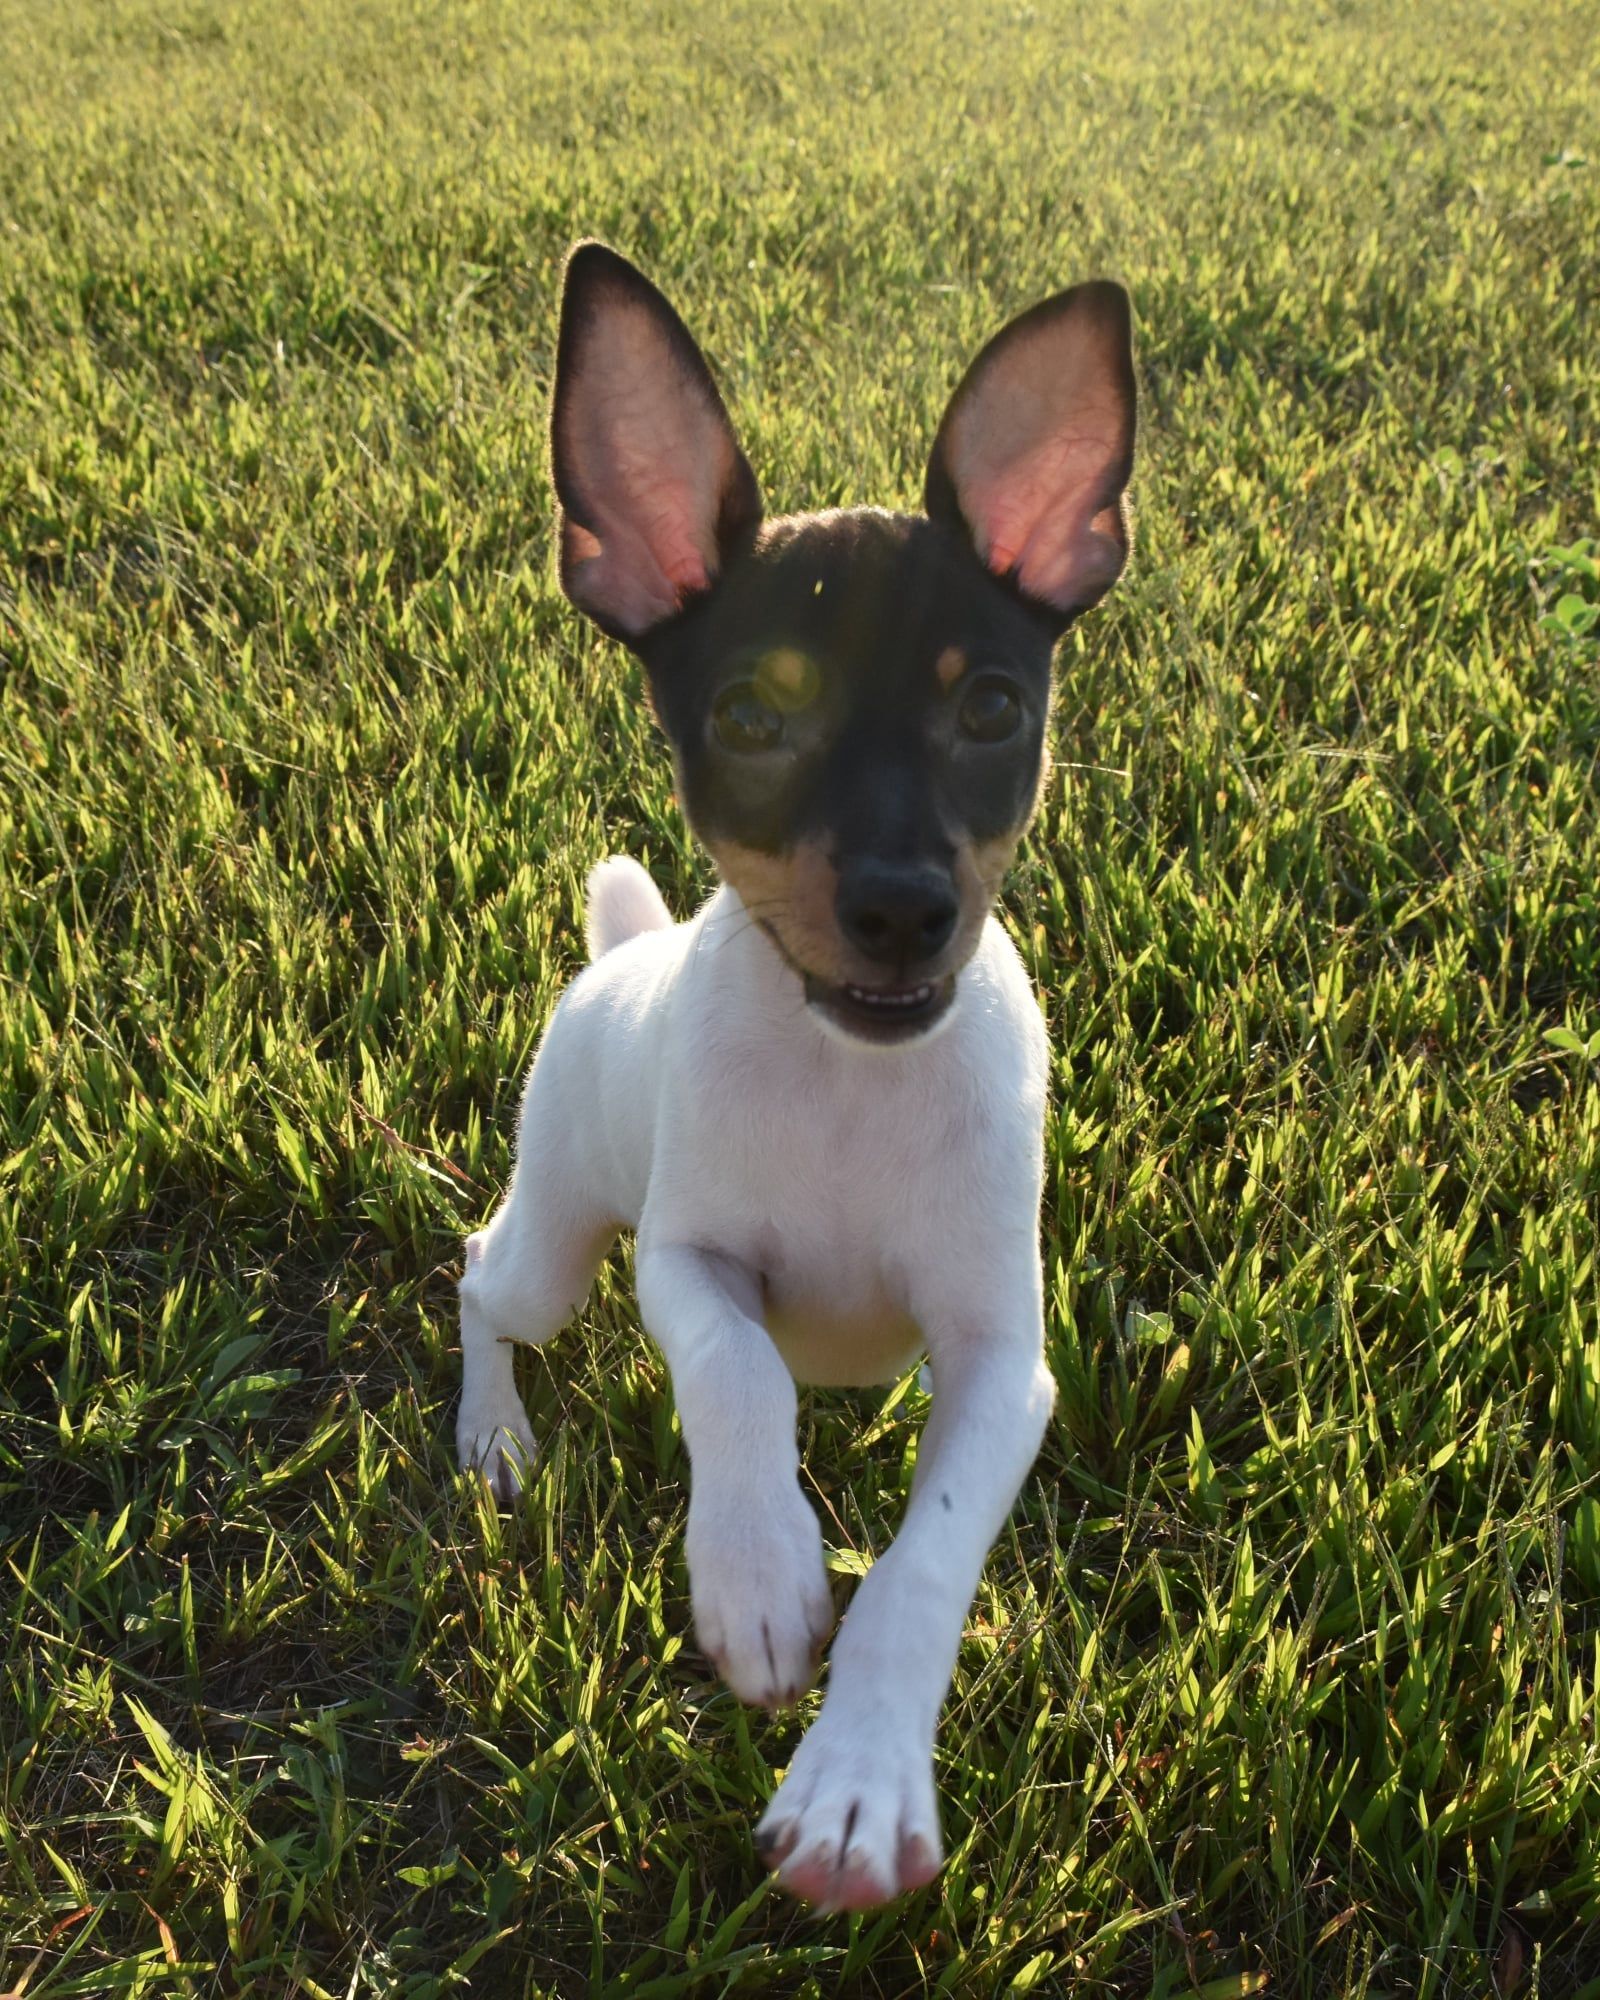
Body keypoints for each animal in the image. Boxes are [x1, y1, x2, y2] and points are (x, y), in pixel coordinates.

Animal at [456, 242, 1136, 1912]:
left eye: (992, 709)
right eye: (751, 720)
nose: (901, 909)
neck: (850, 1082)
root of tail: (617, 954)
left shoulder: (1001, 1364)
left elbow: (923, 1560)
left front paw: (855, 1788)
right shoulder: (687, 1261)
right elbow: (738, 1369)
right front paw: (758, 1571)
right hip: (559, 1241)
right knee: (480, 1280)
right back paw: (494, 1438)